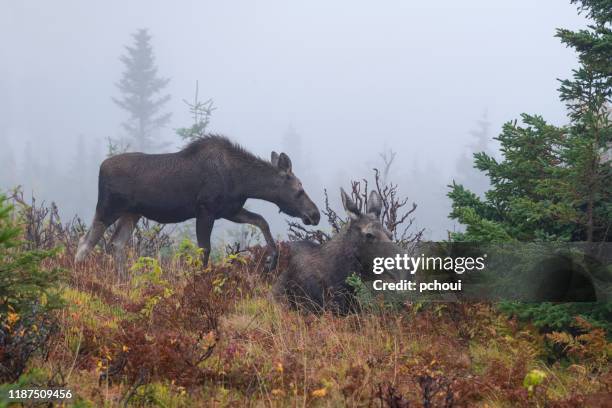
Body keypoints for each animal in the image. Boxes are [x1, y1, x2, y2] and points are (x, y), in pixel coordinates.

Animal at [75, 135, 320, 274]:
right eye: (299, 190)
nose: (315, 214)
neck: (242, 181)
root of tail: (101, 167)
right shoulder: (206, 209)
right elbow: (205, 249)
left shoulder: (229, 210)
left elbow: (262, 221)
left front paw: (272, 260)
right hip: (108, 207)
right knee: (85, 242)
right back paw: (78, 276)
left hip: (132, 213)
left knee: (116, 244)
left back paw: (125, 279)